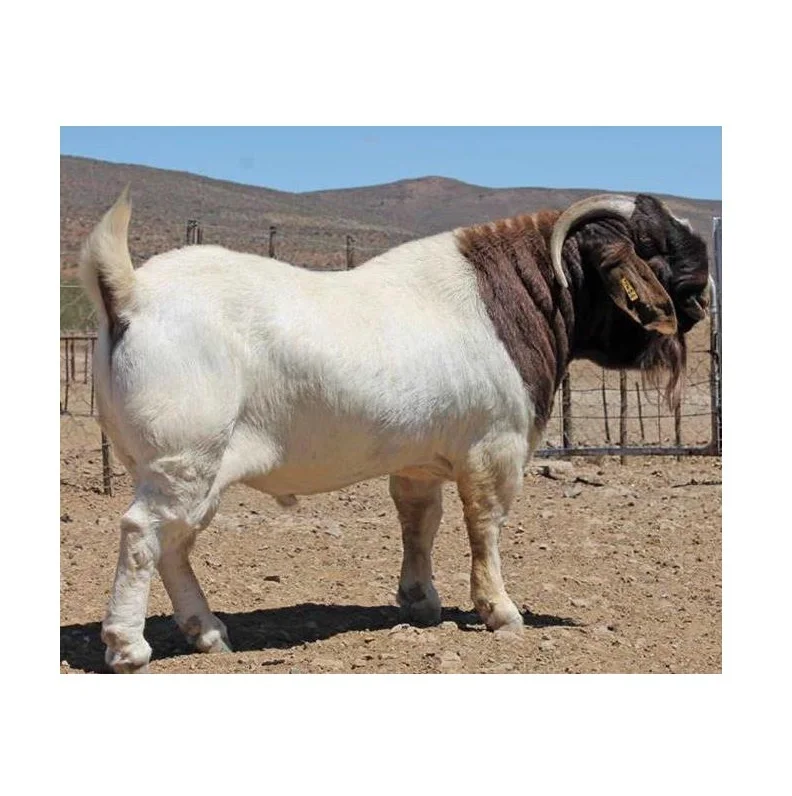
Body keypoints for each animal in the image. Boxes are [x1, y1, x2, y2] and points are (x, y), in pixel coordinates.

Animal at [79, 188, 710, 672]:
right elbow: (485, 526)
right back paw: (128, 646)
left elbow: (418, 522)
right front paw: (500, 612)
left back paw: (208, 633)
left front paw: (420, 602)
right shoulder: (495, 447)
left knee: (175, 544)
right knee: (142, 533)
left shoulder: (417, 461)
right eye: (650, 245)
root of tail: (130, 293)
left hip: (187, 469)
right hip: (184, 458)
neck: (512, 298)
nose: (704, 296)